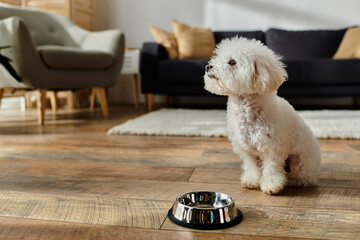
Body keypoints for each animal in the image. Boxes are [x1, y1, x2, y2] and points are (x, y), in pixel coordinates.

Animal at [204, 37, 322, 195]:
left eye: (232, 62)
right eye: (217, 56)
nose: (208, 67)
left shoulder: (272, 148)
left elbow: (271, 168)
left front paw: (271, 185)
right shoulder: (246, 149)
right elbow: (252, 166)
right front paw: (252, 181)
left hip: (301, 160)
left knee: (303, 177)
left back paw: (293, 180)